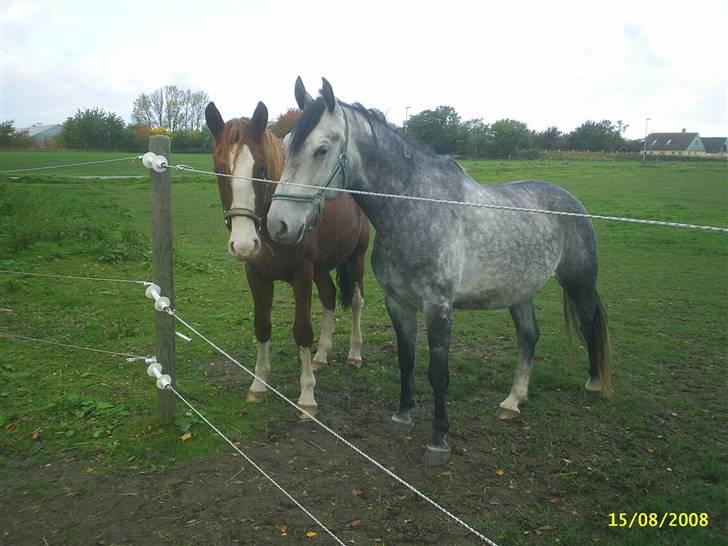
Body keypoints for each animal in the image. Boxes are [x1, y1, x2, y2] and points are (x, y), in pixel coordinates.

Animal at [205, 101, 370, 416]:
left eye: (261, 168)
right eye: (220, 170)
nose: (243, 244)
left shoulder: (301, 275)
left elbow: (302, 331)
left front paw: (306, 398)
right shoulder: (257, 276)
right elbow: (262, 326)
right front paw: (258, 385)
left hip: (356, 258)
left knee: (356, 302)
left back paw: (355, 354)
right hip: (322, 269)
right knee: (329, 297)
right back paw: (321, 356)